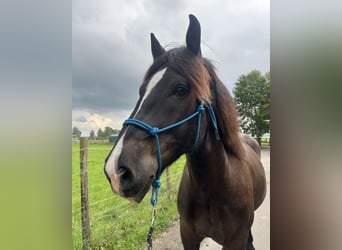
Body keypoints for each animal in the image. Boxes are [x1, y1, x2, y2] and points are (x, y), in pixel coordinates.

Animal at [104, 14, 268, 250]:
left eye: (180, 89)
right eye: (141, 91)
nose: (115, 170)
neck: (214, 189)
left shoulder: (235, 241)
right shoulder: (188, 235)